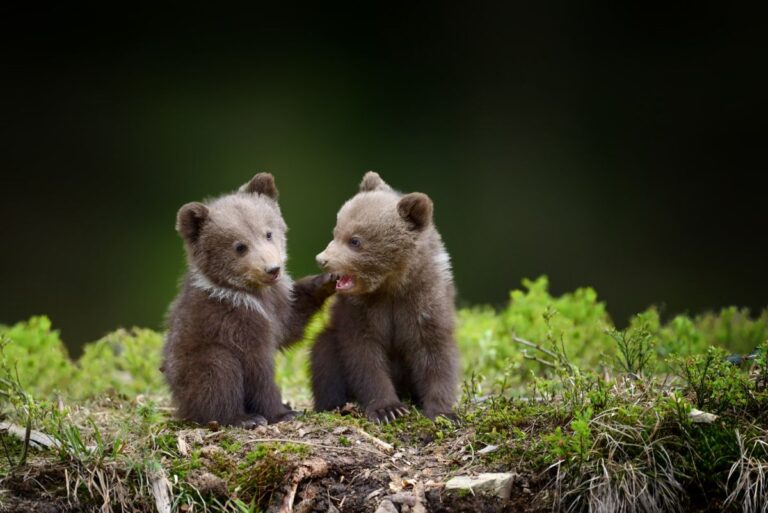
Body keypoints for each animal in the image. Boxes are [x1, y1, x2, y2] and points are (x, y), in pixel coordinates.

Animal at [163, 173, 336, 427]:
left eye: (268, 233)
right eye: (240, 246)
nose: (272, 269)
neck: (252, 294)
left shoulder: (277, 305)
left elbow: (291, 324)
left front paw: (326, 280)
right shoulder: (235, 322)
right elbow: (257, 370)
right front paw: (281, 412)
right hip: (196, 363)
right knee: (219, 372)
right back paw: (243, 417)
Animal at [311, 171, 460, 423]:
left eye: (355, 240)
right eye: (336, 231)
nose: (322, 259)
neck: (390, 286)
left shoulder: (425, 302)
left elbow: (435, 354)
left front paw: (443, 412)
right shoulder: (360, 311)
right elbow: (364, 357)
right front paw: (387, 409)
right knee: (323, 356)